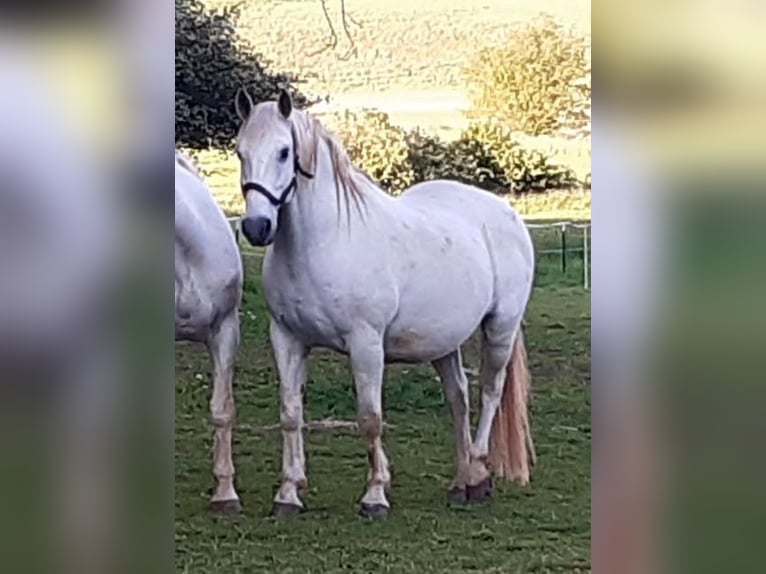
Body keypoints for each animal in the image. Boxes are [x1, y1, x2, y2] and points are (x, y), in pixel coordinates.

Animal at [234, 90, 536, 516]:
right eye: (240, 151)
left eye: (283, 151)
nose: (257, 227)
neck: (325, 241)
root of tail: (505, 211)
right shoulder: (287, 339)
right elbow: (291, 414)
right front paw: (288, 493)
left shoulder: (366, 344)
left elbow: (370, 417)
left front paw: (375, 495)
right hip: (444, 342)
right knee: (458, 399)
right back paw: (461, 481)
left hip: (500, 328)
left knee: (490, 392)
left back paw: (478, 476)